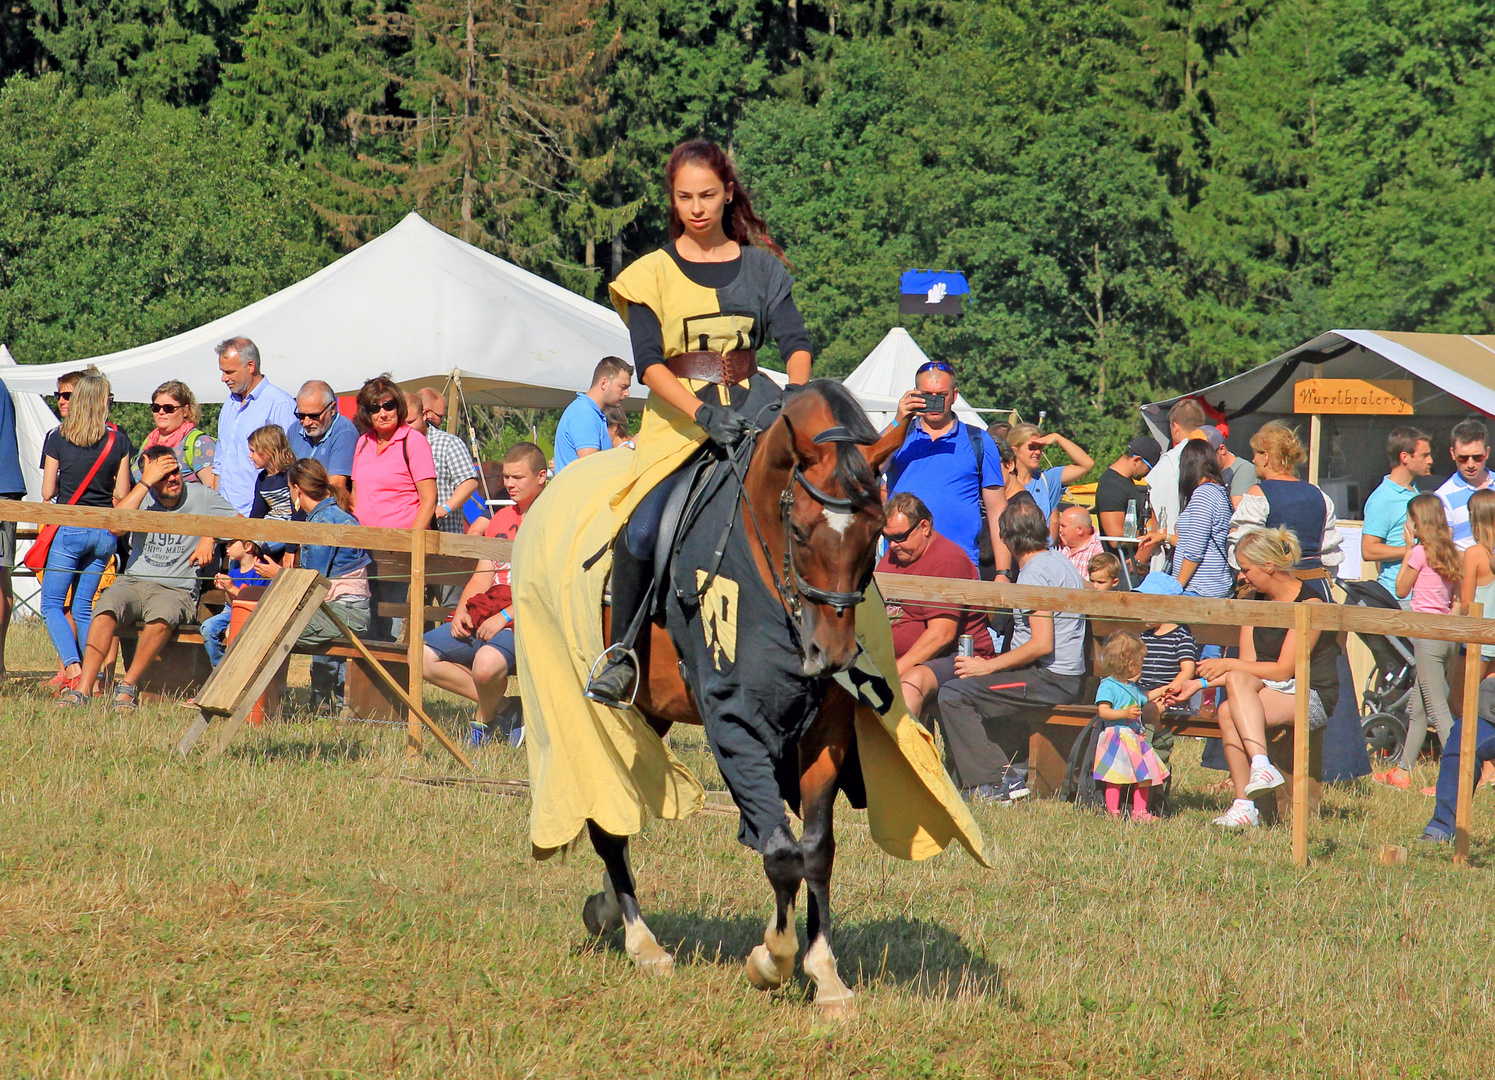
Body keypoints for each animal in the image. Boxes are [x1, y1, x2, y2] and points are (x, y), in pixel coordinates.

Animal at [586, 376, 902, 1011]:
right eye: (800, 531)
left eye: (876, 533)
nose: (829, 656)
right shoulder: (734, 720)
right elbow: (780, 851)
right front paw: (772, 959)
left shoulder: (825, 732)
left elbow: (816, 849)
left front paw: (825, 974)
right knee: (608, 823)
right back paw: (642, 943)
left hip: (654, 714)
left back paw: (608, 907)